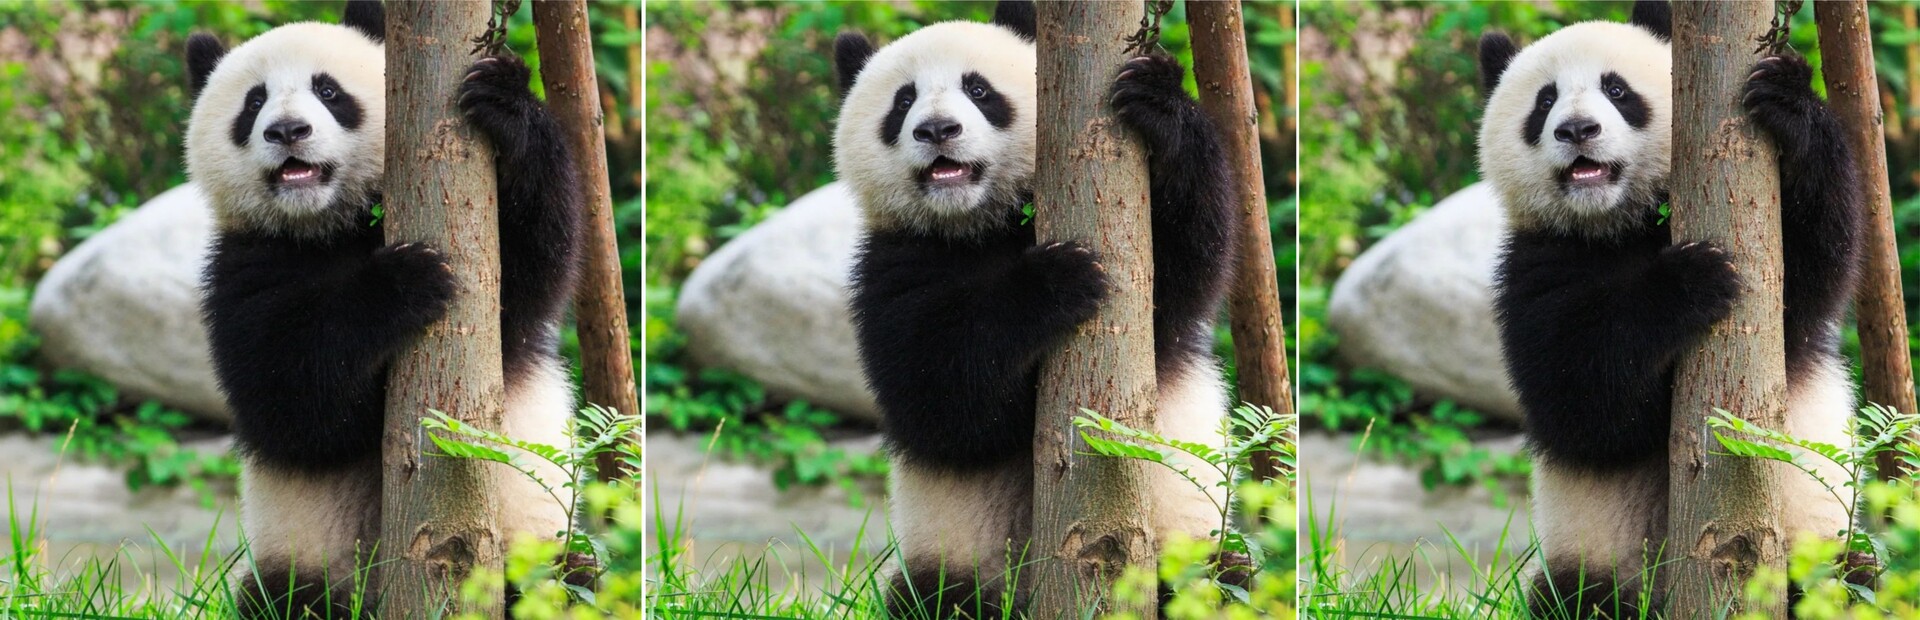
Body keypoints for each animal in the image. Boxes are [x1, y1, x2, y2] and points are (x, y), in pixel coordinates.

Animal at [183, 1, 583, 616]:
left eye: (328, 91)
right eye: (253, 102)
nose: (288, 130)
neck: (329, 226)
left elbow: (526, 278)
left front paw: (505, 101)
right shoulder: (241, 267)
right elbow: (291, 402)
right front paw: (406, 280)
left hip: (538, 547)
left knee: (567, 583)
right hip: (305, 563)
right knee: (283, 598)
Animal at [832, 1, 1242, 616]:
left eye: (979, 90)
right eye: (902, 102)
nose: (937, 130)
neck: (979, 225)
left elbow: (1180, 274)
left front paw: (1158, 100)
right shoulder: (889, 267)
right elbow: (939, 401)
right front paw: (1057, 280)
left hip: (1191, 547)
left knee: (1222, 582)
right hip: (956, 562)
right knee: (934, 599)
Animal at [1479, 1, 1864, 616]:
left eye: (1617, 89)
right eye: (1543, 101)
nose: (1577, 129)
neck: (1618, 224)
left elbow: (1809, 275)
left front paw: (1788, 101)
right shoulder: (1532, 267)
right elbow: (1580, 402)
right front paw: (1691, 280)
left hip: (1820, 549)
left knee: (1850, 580)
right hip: (1593, 561)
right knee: (1573, 599)